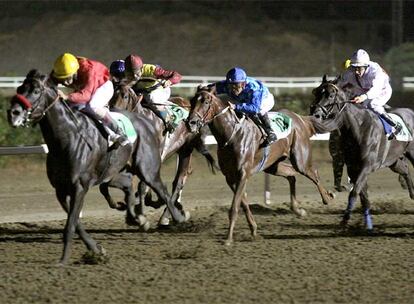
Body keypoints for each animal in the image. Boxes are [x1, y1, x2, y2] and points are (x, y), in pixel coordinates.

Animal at [6, 69, 188, 264]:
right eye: (19, 88)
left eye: (36, 91)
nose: (13, 113)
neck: (67, 138)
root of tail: (147, 122)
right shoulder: (61, 189)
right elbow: (75, 222)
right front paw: (96, 249)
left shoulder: (79, 187)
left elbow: (71, 224)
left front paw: (63, 259)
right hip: (116, 170)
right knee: (127, 185)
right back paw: (138, 218)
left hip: (147, 168)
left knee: (162, 190)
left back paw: (178, 218)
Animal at [105, 85, 218, 226]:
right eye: (111, 95)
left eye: (125, 96)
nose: (112, 113)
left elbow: (142, 186)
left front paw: (141, 214)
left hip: (186, 149)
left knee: (179, 181)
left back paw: (166, 216)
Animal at [186, 85, 334, 245]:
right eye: (192, 101)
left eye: (206, 102)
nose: (190, 122)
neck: (232, 134)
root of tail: (300, 118)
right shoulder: (230, 177)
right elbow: (243, 204)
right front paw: (254, 229)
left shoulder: (242, 174)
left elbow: (234, 206)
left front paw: (229, 238)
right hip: (272, 165)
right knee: (292, 175)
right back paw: (298, 209)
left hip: (300, 160)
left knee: (313, 173)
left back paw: (327, 197)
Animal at [308, 76, 414, 230]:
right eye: (315, 92)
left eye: (331, 95)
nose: (315, 113)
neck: (359, 127)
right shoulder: (353, 167)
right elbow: (363, 196)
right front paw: (367, 224)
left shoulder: (367, 166)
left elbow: (354, 192)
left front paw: (345, 219)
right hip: (393, 161)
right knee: (405, 170)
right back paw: (412, 194)